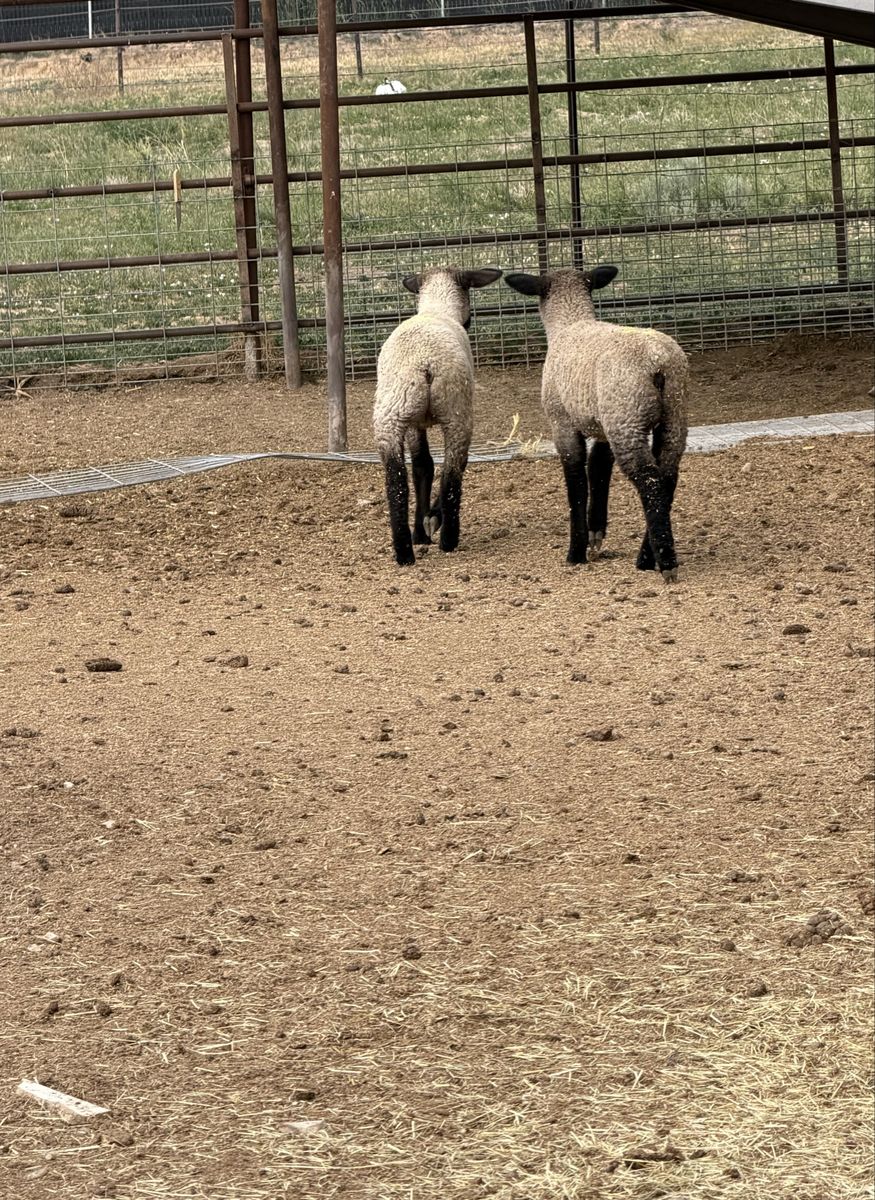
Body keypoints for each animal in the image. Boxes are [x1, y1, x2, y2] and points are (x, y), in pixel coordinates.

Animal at [373, 266, 502, 566]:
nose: (469, 323)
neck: (437, 308)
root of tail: (426, 363)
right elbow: (435, 467)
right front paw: (429, 523)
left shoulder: (413, 424)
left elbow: (422, 466)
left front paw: (421, 532)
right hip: (457, 411)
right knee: (454, 473)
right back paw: (448, 539)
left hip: (393, 413)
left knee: (397, 479)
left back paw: (404, 550)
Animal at [504, 265, 688, 582]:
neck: (570, 321)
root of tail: (659, 362)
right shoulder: (602, 426)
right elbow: (598, 468)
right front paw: (595, 535)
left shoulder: (561, 421)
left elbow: (576, 478)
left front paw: (576, 551)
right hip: (669, 415)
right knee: (667, 476)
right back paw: (648, 555)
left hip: (626, 415)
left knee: (649, 478)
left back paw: (662, 562)